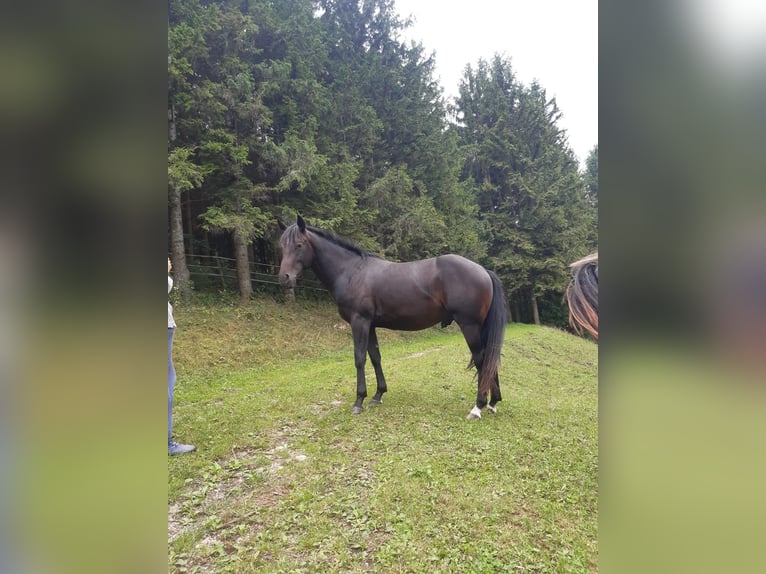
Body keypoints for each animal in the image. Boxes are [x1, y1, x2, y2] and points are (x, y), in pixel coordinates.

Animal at [278, 216, 508, 420]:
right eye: (281, 246)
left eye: (299, 245)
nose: (284, 278)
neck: (352, 271)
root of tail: (483, 270)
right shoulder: (370, 325)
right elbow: (375, 357)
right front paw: (377, 395)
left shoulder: (359, 322)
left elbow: (359, 358)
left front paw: (359, 401)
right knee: (489, 359)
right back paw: (493, 403)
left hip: (469, 326)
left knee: (481, 359)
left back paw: (478, 407)